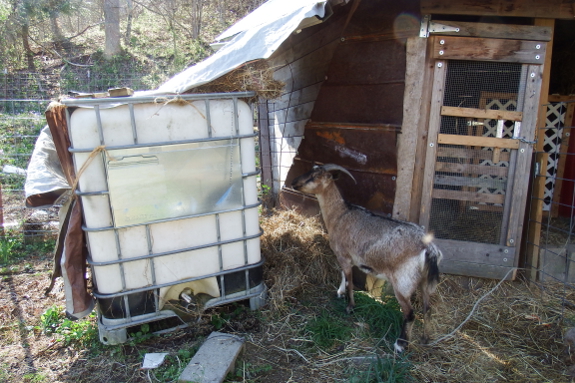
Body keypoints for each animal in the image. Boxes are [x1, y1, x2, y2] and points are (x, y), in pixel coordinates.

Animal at [292, 164, 446, 352]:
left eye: (314, 177)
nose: (294, 183)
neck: (340, 214)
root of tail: (429, 248)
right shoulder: (346, 256)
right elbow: (343, 274)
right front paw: (340, 293)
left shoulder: (343, 254)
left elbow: (349, 279)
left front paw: (350, 306)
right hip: (424, 281)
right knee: (427, 308)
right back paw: (425, 338)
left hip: (403, 282)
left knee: (410, 313)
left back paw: (400, 344)